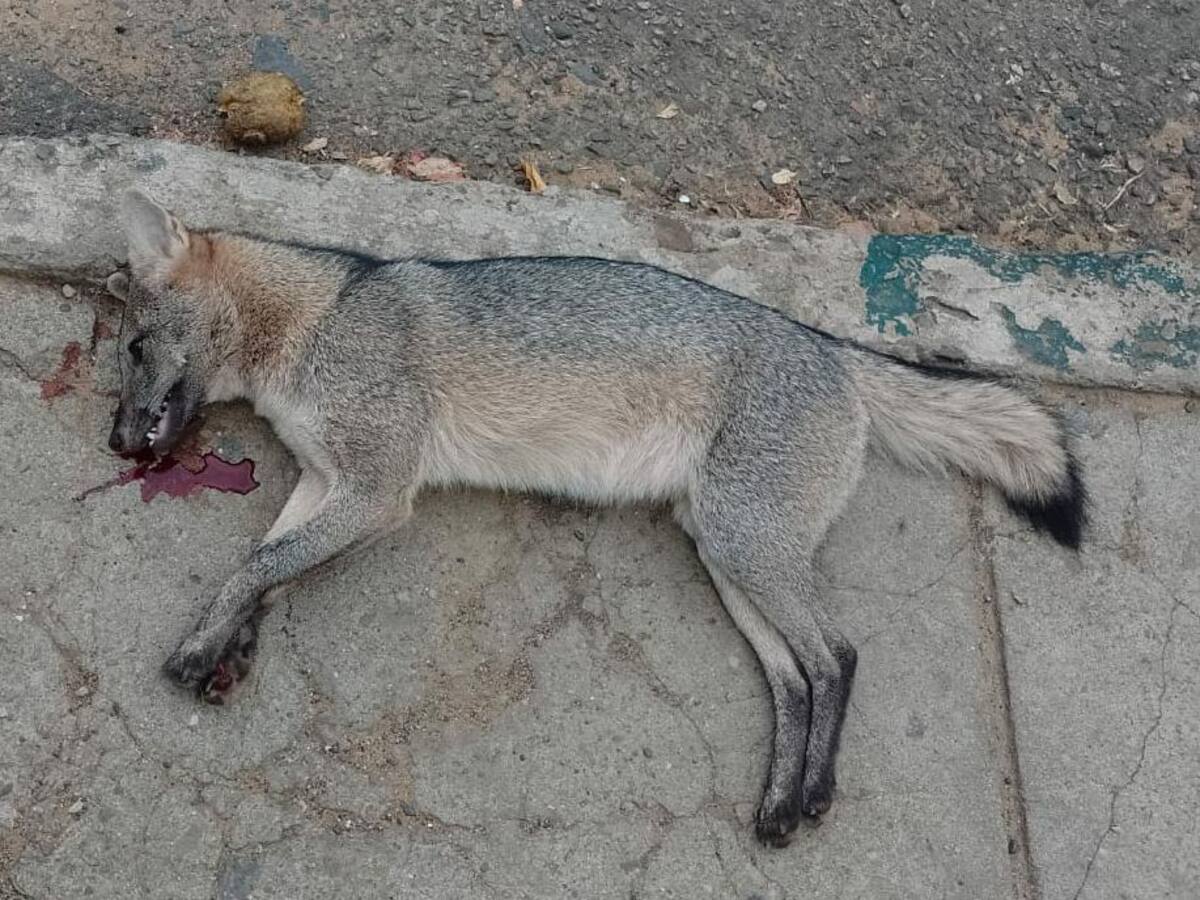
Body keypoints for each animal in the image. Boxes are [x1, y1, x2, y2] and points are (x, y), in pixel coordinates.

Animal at [105, 189, 1085, 846]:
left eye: (134, 349)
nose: (117, 441)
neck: (315, 320)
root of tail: (835, 350)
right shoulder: (327, 482)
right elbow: (270, 566)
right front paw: (231, 646)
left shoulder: (378, 490)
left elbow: (259, 564)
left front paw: (200, 647)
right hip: (726, 558)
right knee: (795, 677)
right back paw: (777, 804)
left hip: (744, 548)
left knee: (837, 656)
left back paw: (811, 796)